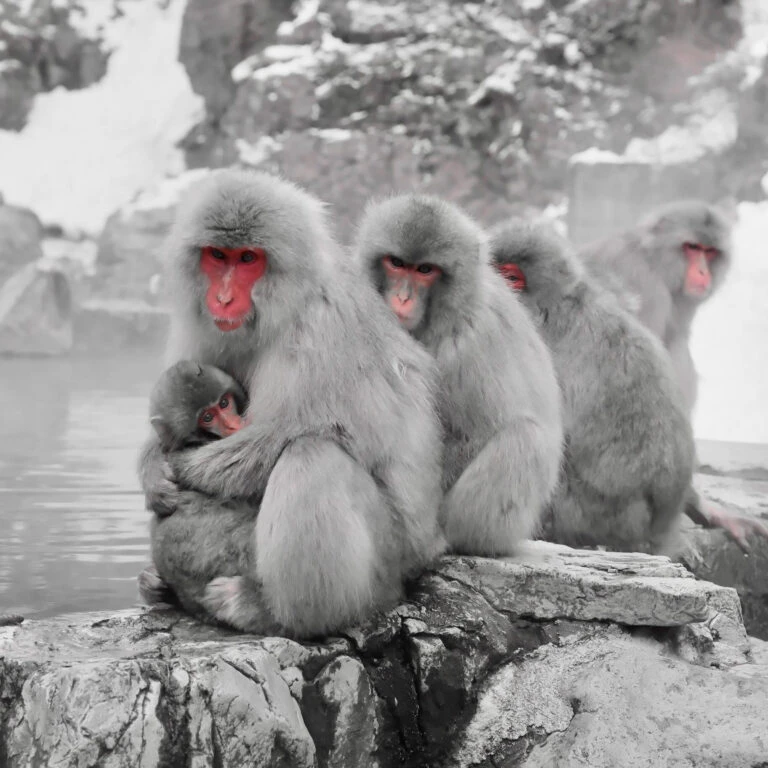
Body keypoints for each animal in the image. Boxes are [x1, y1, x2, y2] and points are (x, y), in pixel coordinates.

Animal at [138, 169, 445, 638]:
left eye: (248, 258)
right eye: (217, 256)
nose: (222, 298)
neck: (280, 309)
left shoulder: (323, 329)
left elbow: (302, 431)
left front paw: (181, 467)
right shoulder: (207, 328)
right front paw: (153, 467)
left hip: (388, 561)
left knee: (311, 456)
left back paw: (277, 613)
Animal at [354, 195, 563, 557]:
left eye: (425, 270)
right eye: (396, 263)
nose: (403, 298)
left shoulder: (471, 343)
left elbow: (473, 435)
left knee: (525, 438)